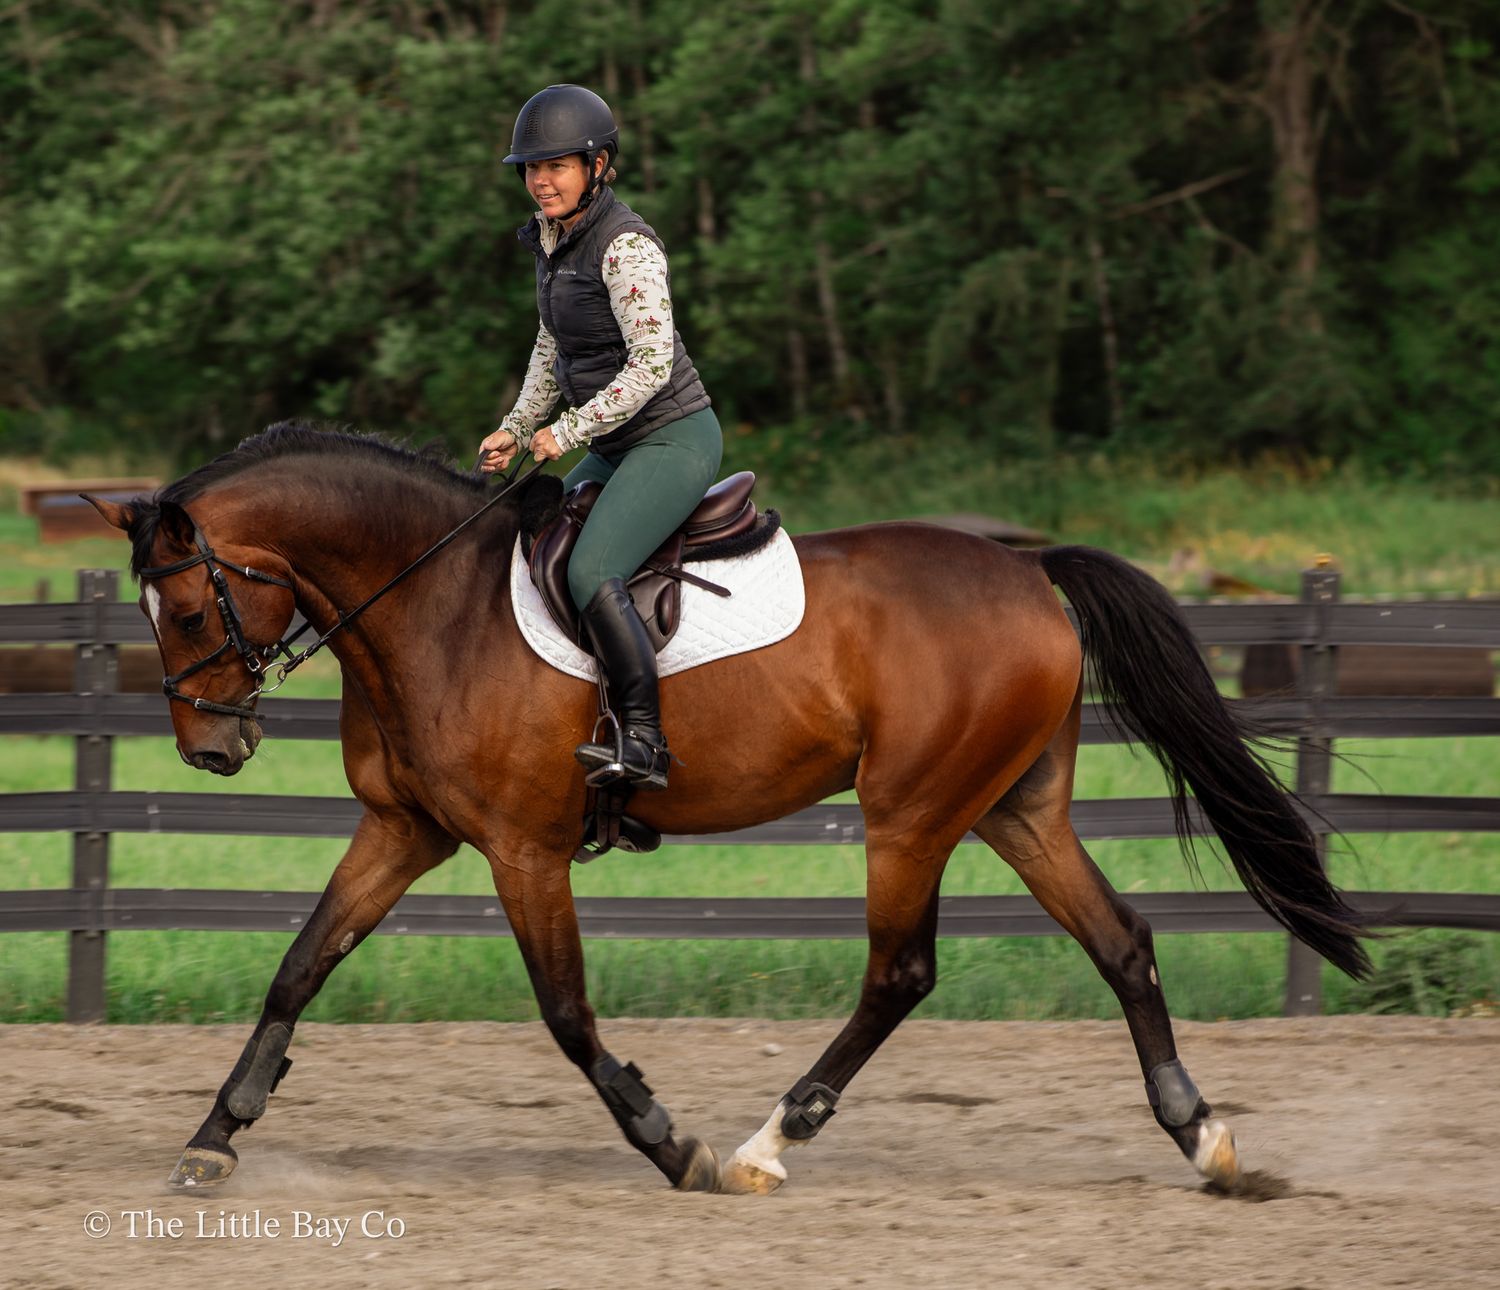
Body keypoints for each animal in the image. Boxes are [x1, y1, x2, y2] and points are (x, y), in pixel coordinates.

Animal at [85, 422, 1369, 1197]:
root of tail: (1028, 568)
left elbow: (566, 1014)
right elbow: (299, 966)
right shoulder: (404, 832)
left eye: (188, 612)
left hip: (912, 814)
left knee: (901, 973)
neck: (434, 604)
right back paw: (1204, 1137)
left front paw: (673, 1144)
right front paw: (215, 1136)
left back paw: (765, 1142)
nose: (211, 748)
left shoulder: (522, 849)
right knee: (1122, 943)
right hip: (1014, 809)